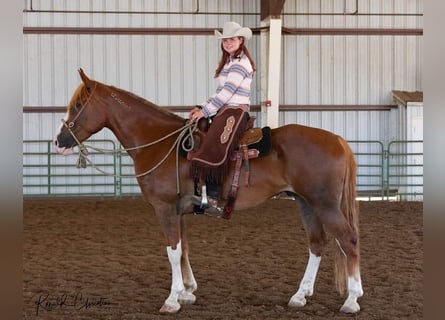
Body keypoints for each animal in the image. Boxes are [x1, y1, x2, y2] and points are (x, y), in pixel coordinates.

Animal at [53, 68, 362, 316]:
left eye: (78, 104)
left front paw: (172, 299)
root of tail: (337, 140)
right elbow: (184, 249)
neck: (158, 143)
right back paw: (300, 295)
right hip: (305, 202)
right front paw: (187, 291)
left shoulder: (164, 208)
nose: (59, 141)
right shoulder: (178, 210)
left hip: (325, 204)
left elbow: (173, 250)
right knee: (317, 242)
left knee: (348, 240)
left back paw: (352, 300)